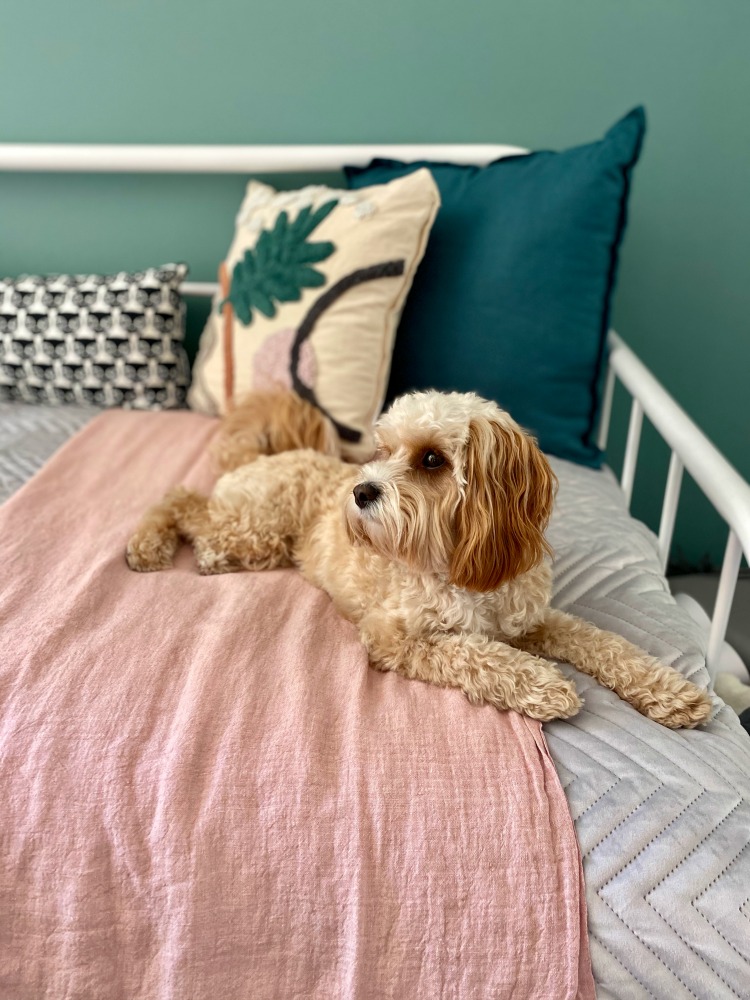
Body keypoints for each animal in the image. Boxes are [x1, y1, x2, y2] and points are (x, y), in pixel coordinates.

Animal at [129, 384, 716, 728]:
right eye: (382, 451)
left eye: (432, 459)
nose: (360, 491)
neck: (460, 566)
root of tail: (276, 455)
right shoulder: (396, 636)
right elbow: (474, 654)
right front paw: (545, 685)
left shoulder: (532, 620)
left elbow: (605, 642)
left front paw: (669, 691)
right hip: (255, 526)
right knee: (180, 500)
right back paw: (147, 545)